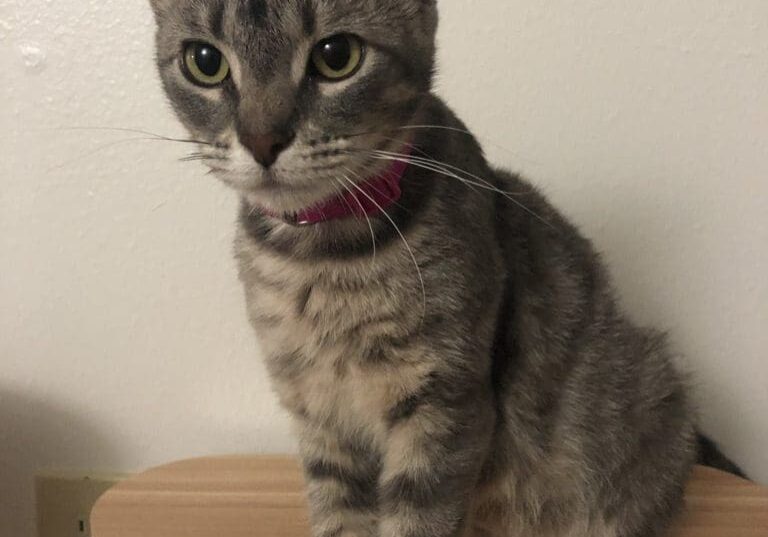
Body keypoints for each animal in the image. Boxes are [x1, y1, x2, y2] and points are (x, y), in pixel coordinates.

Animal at [150, 1, 736, 536]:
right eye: (205, 62)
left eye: (337, 56)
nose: (262, 140)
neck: (320, 260)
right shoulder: (319, 414)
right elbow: (338, 514)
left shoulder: (445, 403)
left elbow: (420, 517)